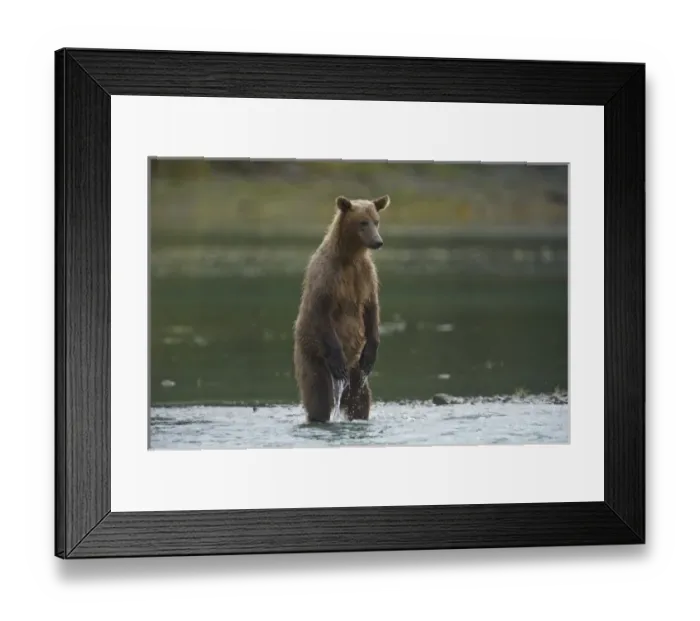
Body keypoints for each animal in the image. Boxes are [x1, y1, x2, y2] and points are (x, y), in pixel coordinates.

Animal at [293, 194, 390, 423]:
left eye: (376, 221)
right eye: (362, 222)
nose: (378, 242)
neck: (350, 256)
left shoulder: (366, 275)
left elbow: (371, 308)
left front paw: (371, 354)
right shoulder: (327, 277)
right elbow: (323, 311)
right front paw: (337, 359)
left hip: (355, 372)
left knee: (360, 399)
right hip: (312, 356)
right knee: (318, 396)